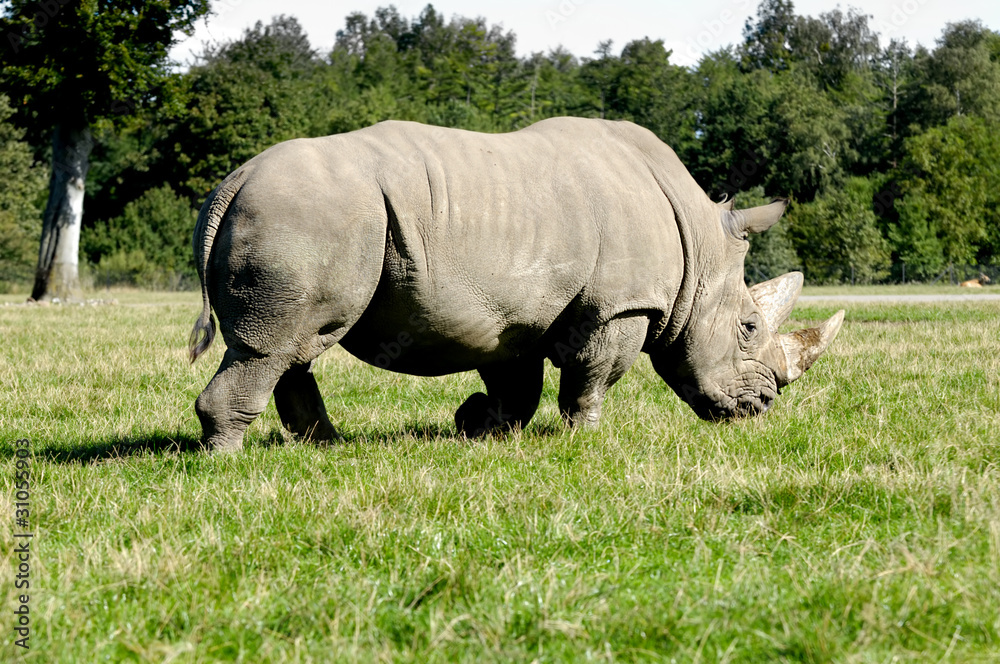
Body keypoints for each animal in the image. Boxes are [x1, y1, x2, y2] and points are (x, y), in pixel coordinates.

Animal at [189, 117, 844, 451]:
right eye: (748, 327)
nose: (762, 405)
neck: (700, 247)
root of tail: (233, 181)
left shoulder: (514, 312)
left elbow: (517, 383)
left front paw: (482, 428)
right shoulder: (620, 307)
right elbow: (593, 375)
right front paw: (587, 441)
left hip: (314, 216)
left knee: (297, 344)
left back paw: (325, 447)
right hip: (308, 215)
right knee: (276, 345)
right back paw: (231, 460)